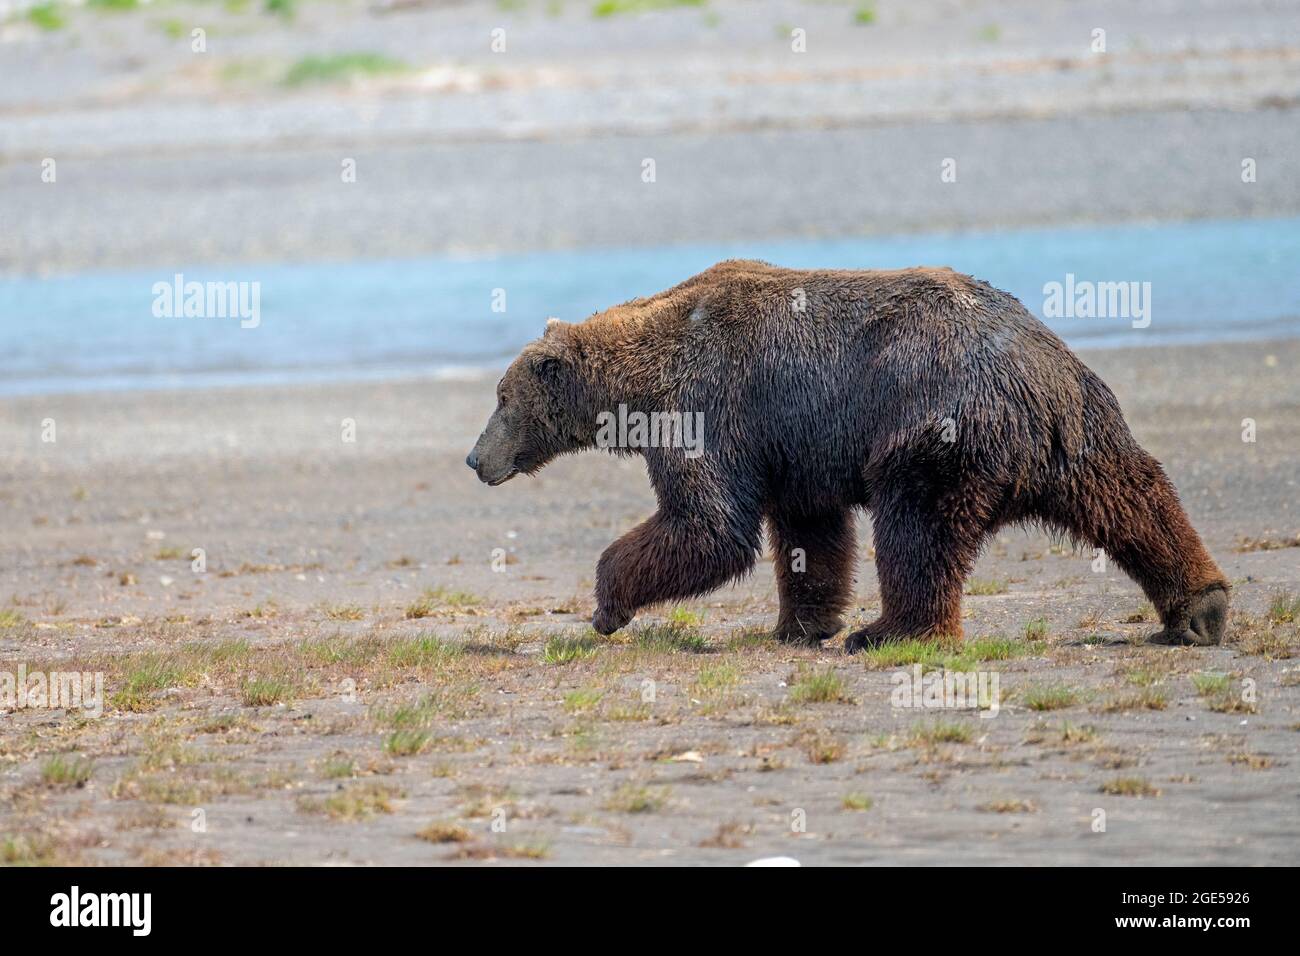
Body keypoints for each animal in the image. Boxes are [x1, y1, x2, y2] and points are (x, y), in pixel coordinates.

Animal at [466, 260, 1229, 651]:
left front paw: (606, 604)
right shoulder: (793, 442)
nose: (475, 458)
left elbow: (709, 526)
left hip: (934, 424)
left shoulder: (710, 405)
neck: (639, 379)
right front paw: (800, 623)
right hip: (1080, 419)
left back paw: (891, 630)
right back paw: (1201, 606)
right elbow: (809, 531)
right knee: (1128, 491)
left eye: (501, 398)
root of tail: (1037, 371)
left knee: (917, 530)